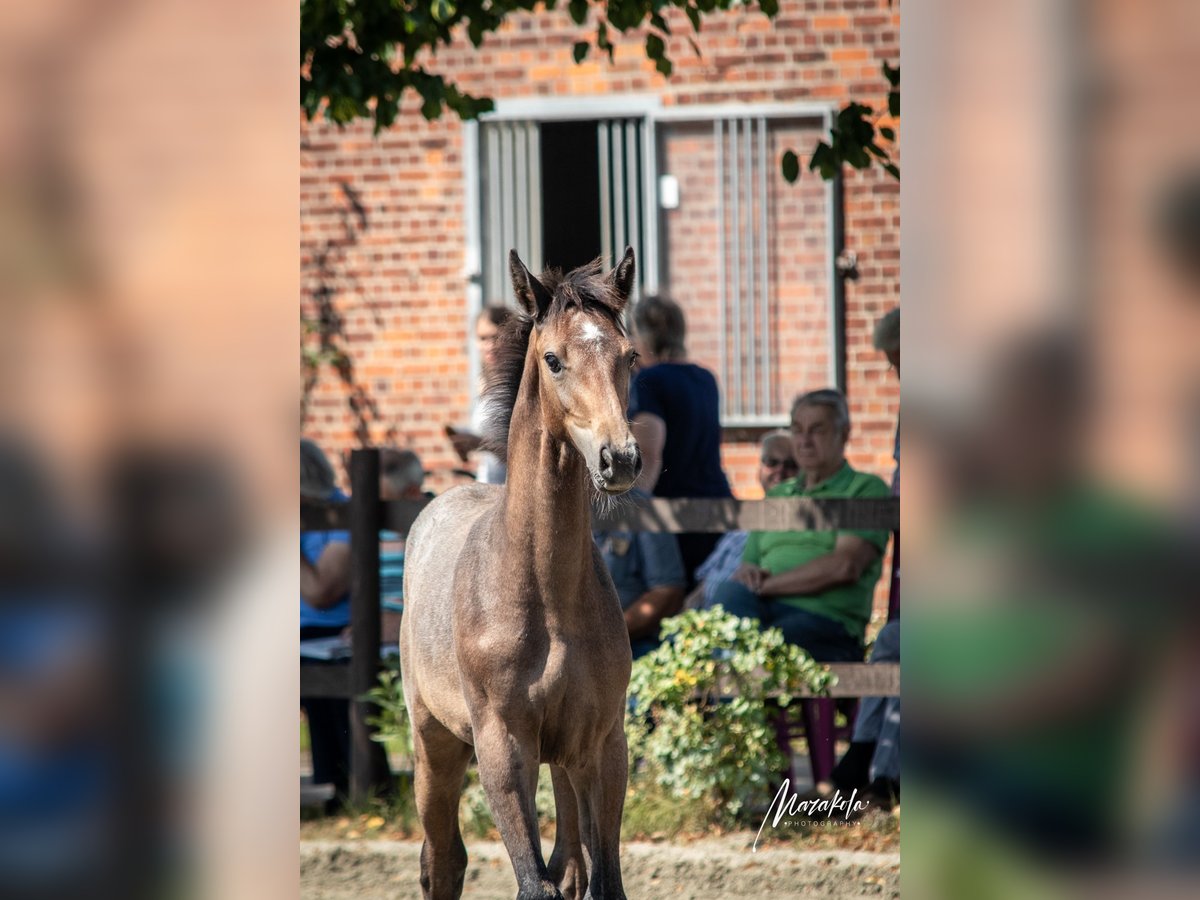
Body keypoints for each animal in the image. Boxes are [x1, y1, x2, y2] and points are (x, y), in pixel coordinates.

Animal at [398, 250, 643, 900]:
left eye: (630, 356)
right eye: (553, 359)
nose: (620, 459)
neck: (546, 597)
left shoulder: (602, 742)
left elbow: (601, 880)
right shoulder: (502, 746)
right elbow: (534, 883)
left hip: (562, 757)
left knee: (572, 862)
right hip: (434, 744)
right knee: (443, 861)